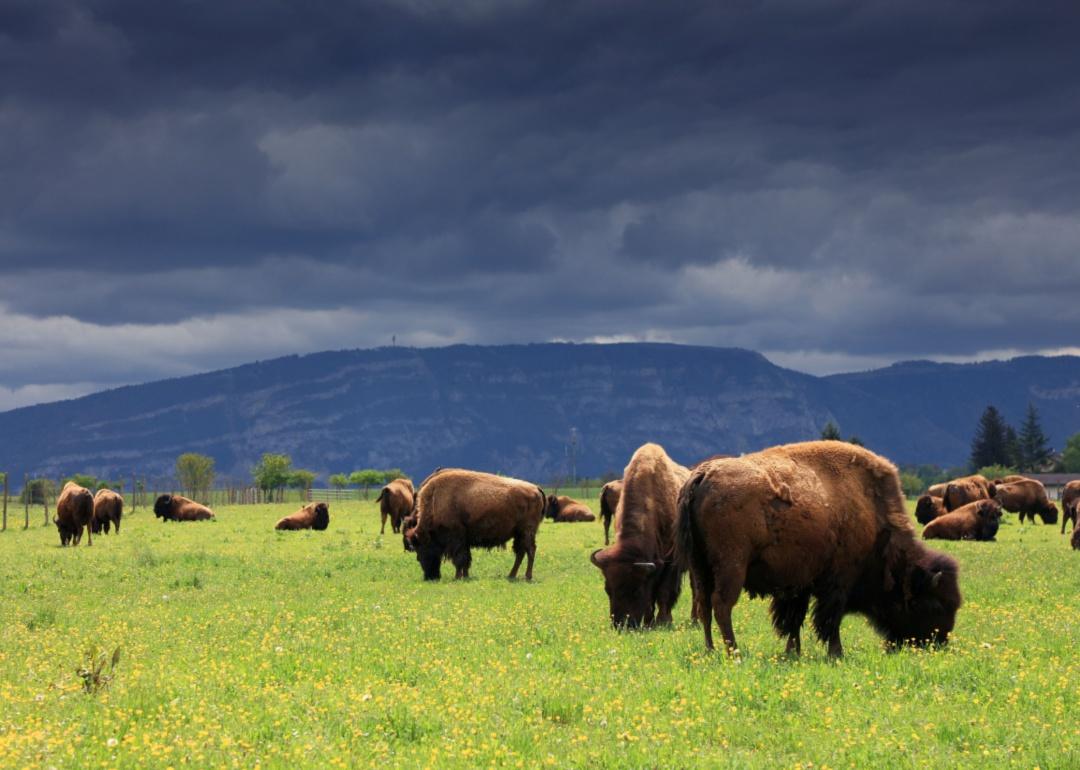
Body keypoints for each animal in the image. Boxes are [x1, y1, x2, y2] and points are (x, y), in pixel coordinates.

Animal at [403, 468, 544, 583]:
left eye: (421, 553)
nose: (430, 577)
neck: (436, 501)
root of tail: (536, 488)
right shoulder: (464, 541)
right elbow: (466, 559)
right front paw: (465, 576)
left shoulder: (456, 539)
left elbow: (459, 558)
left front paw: (457, 577)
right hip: (519, 534)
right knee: (521, 552)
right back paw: (511, 575)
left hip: (526, 532)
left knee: (530, 551)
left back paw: (527, 576)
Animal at [591, 440, 691, 626]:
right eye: (608, 589)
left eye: (636, 590)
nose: (622, 624)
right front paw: (650, 620)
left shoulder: (671, 563)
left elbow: (664, 591)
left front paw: (663, 621)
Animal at [673, 438, 963, 656]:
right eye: (935, 605)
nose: (939, 643)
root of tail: (702, 474)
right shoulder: (838, 582)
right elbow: (829, 620)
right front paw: (836, 653)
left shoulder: (800, 583)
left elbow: (794, 619)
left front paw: (793, 652)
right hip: (731, 565)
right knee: (722, 604)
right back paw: (735, 652)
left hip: (700, 565)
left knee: (704, 605)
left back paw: (711, 650)